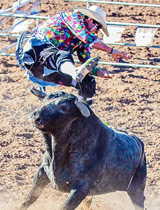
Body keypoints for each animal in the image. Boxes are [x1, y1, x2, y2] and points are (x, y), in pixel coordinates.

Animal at [18, 91, 146, 209]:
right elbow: (30, 197)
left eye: (63, 107)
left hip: (137, 188)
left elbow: (64, 206)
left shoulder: (81, 188)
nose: (35, 117)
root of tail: (137, 141)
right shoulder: (42, 172)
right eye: (44, 100)